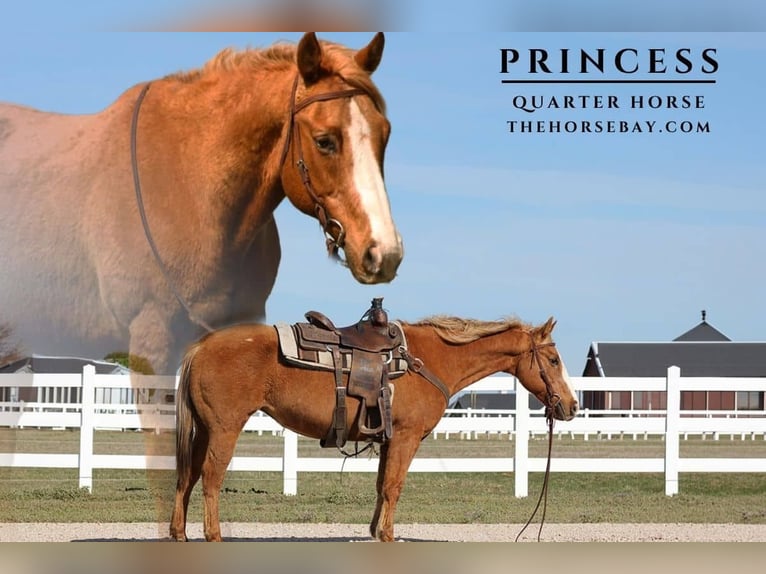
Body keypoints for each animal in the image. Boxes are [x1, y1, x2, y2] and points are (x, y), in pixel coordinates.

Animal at [169, 314, 579, 542]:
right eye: (553, 360)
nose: (572, 405)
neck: (429, 360)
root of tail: (201, 346)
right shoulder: (406, 437)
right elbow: (395, 486)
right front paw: (387, 534)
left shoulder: (386, 439)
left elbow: (382, 485)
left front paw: (373, 530)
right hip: (224, 429)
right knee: (210, 479)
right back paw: (213, 535)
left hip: (203, 430)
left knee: (186, 478)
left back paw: (179, 534)